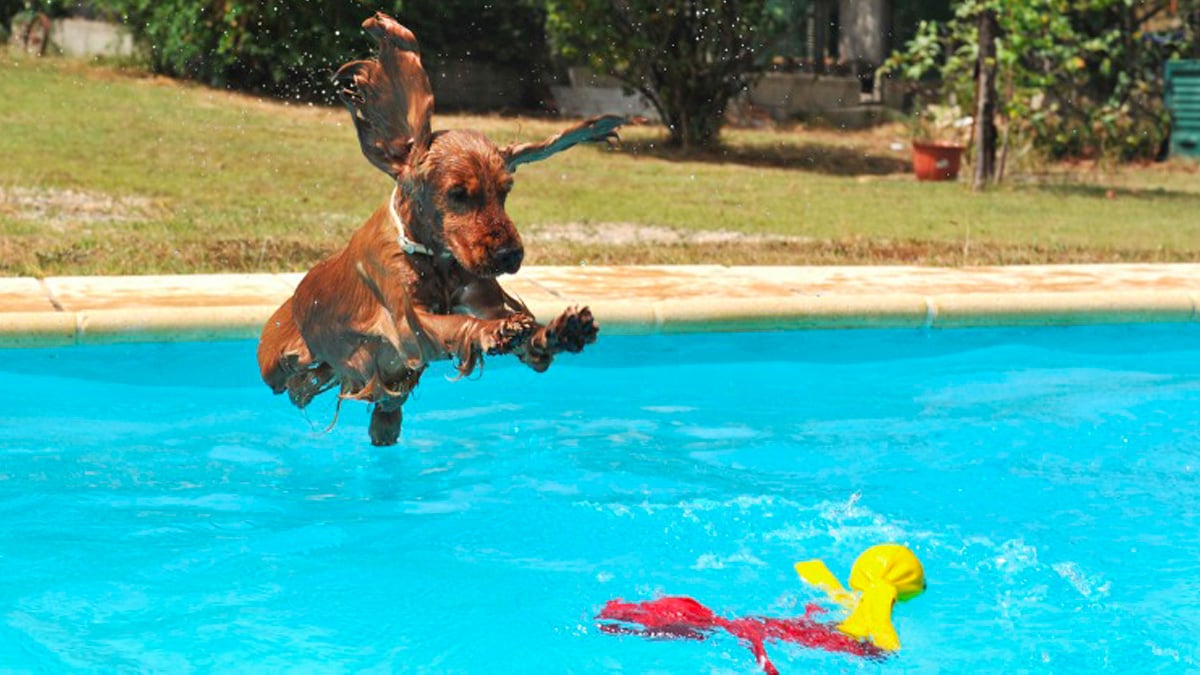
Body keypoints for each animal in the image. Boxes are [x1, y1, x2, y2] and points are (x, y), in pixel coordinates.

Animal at [255, 13, 628, 444]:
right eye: (458, 194)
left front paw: (563, 330)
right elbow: (456, 325)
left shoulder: (482, 298)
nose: (511, 255)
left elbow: (531, 342)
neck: (435, 259)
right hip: (274, 361)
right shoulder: (408, 325)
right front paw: (496, 331)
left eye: (505, 191)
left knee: (382, 407)